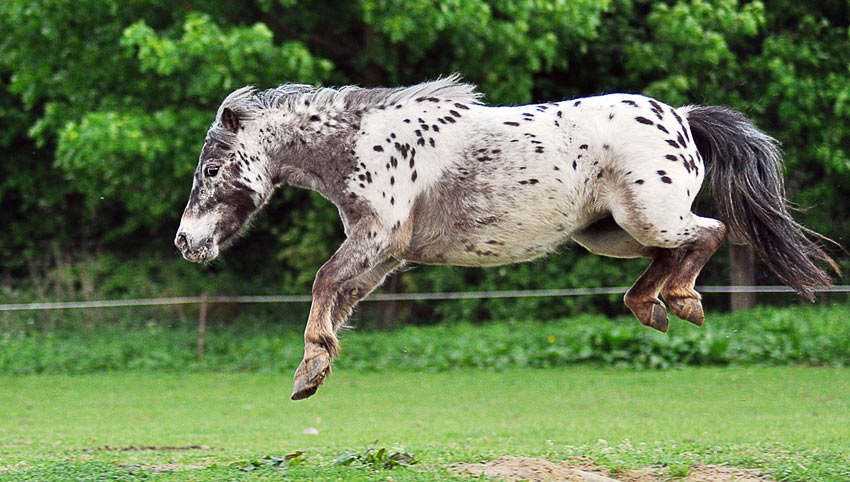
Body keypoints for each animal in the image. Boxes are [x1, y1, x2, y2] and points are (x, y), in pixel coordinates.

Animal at [174, 75, 836, 400]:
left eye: (211, 169)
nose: (184, 242)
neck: (361, 143)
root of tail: (682, 118)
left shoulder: (378, 237)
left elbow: (324, 280)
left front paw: (310, 369)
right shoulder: (383, 254)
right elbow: (339, 295)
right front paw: (314, 369)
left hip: (651, 216)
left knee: (710, 232)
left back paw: (681, 302)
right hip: (609, 233)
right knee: (666, 257)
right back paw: (653, 305)